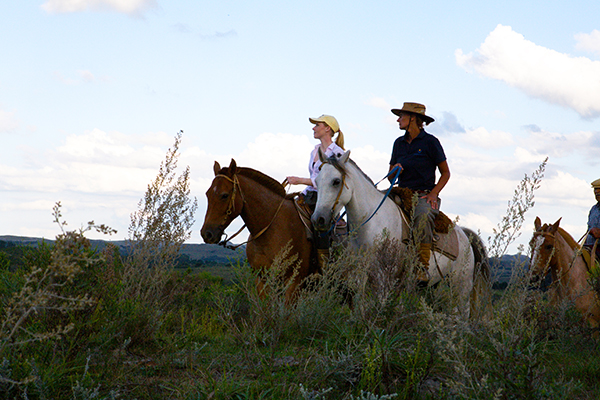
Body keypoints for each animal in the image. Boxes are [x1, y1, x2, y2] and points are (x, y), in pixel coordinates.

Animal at [312, 150, 490, 318]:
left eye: (336, 181)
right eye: (317, 181)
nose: (318, 219)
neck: (373, 222)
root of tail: (465, 235)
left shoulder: (383, 278)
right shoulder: (360, 276)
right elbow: (359, 308)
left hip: (461, 285)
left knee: (462, 313)